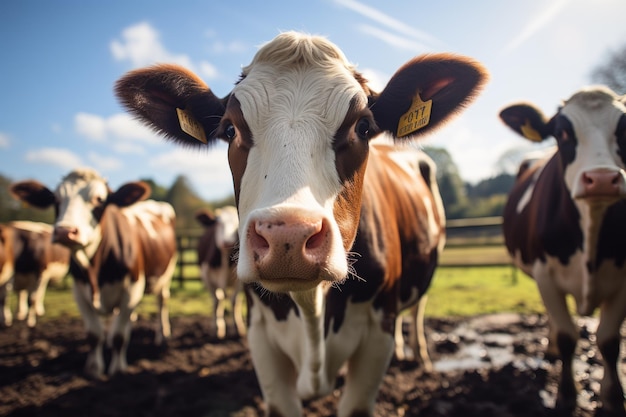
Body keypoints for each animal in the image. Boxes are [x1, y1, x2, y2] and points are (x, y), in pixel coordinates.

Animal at [9, 167, 177, 376]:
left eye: (99, 199)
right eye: (56, 199)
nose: (65, 231)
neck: (97, 268)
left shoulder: (132, 289)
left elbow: (119, 335)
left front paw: (117, 369)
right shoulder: (79, 292)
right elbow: (94, 334)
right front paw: (94, 369)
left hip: (165, 276)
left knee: (162, 303)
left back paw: (162, 335)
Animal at [194, 205, 245, 338]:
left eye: (237, 225)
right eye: (219, 223)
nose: (227, 242)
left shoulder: (239, 282)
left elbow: (234, 301)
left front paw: (238, 327)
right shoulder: (207, 279)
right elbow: (217, 301)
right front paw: (218, 328)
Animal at [500, 85, 626, 416]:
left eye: (624, 127)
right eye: (562, 133)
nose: (602, 179)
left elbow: (609, 340)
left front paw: (613, 398)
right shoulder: (546, 276)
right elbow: (569, 336)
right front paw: (566, 396)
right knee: (555, 323)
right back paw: (551, 347)